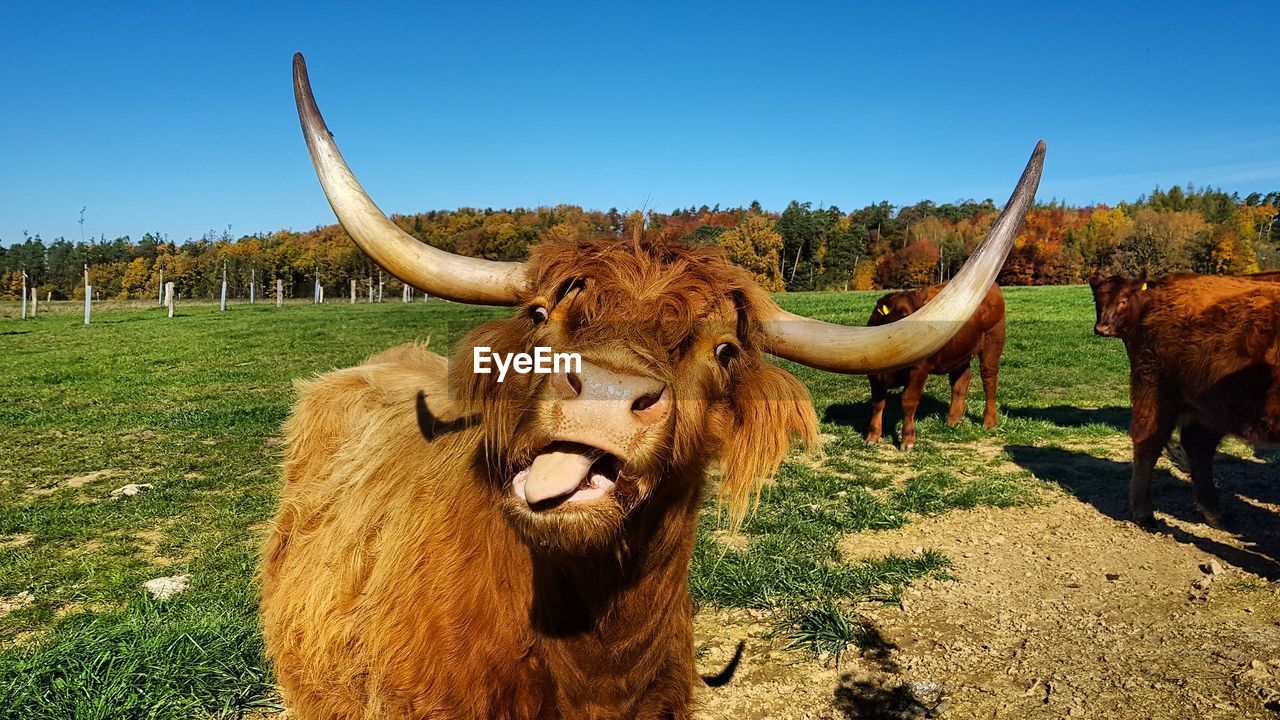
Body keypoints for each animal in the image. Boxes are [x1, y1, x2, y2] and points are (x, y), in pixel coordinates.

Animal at [865, 281, 1003, 445]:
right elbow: (877, 404)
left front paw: (908, 440)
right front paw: (872, 436)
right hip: (959, 353)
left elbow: (908, 401)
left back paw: (989, 422)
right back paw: (952, 421)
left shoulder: (919, 371)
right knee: (961, 381)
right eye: (904, 315)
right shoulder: (874, 375)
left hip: (993, 341)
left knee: (989, 381)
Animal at [1095, 271, 1280, 525]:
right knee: (1149, 442)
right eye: (1097, 301)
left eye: (1122, 300)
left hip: (1216, 407)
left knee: (1197, 445)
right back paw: (1144, 513)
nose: (1102, 328)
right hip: (1156, 392)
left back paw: (1213, 512)